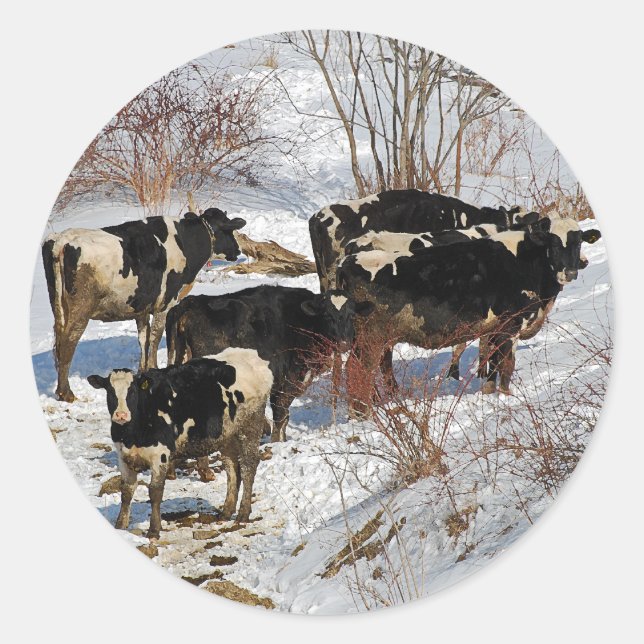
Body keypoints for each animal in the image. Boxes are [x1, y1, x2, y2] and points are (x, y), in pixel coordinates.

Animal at [42, 209, 246, 402]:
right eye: (229, 229)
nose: (237, 250)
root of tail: (62, 239)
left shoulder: (142, 308)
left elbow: (143, 339)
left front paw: (143, 371)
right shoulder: (165, 303)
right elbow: (155, 337)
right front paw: (153, 368)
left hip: (58, 307)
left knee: (59, 343)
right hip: (81, 309)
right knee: (67, 343)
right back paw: (66, 394)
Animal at [88, 347, 272, 539]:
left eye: (132, 391)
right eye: (110, 391)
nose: (121, 415)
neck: (132, 435)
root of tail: (249, 354)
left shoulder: (160, 455)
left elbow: (155, 491)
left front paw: (154, 530)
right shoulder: (123, 456)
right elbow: (126, 491)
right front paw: (120, 526)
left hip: (250, 426)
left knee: (248, 467)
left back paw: (243, 513)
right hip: (227, 435)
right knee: (231, 467)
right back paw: (226, 511)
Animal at [165, 285, 373, 445]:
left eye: (352, 315)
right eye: (327, 315)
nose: (344, 343)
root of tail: (189, 303)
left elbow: (285, 418)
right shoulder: (287, 381)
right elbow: (281, 415)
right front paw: (277, 443)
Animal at [337, 215, 601, 415]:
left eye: (578, 242)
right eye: (553, 244)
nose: (571, 271)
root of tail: (348, 260)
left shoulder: (493, 328)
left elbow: (492, 363)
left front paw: (489, 392)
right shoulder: (510, 323)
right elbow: (507, 365)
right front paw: (507, 398)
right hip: (371, 337)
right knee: (359, 370)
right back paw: (363, 412)